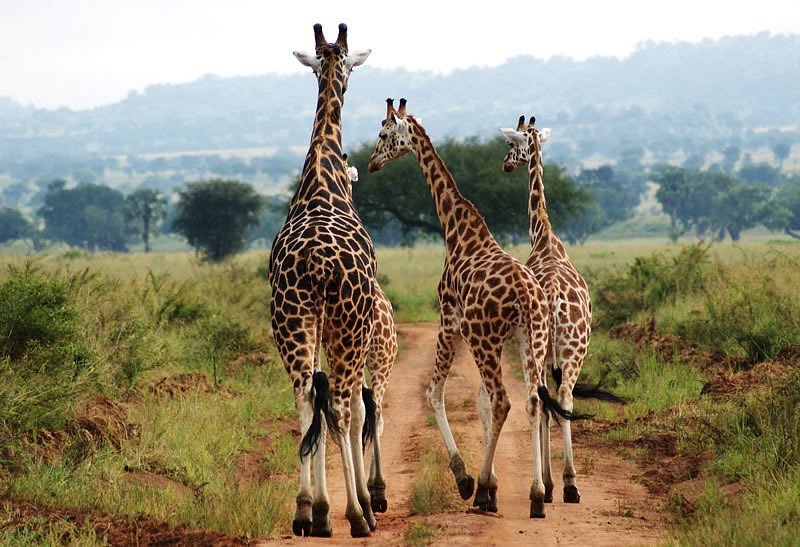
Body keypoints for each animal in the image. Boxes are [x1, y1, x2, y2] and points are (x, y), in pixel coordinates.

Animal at [368, 98, 581, 518]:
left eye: (383, 133)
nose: (371, 163)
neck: (458, 232)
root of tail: (528, 295)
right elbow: (481, 400)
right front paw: (491, 483)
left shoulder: (449, 321)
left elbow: (435, 392)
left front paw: (466, 478)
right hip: (532, 339)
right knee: (536, 399)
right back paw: (538, 493)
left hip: (487, 340)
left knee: (503, 400)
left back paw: (486, 489)